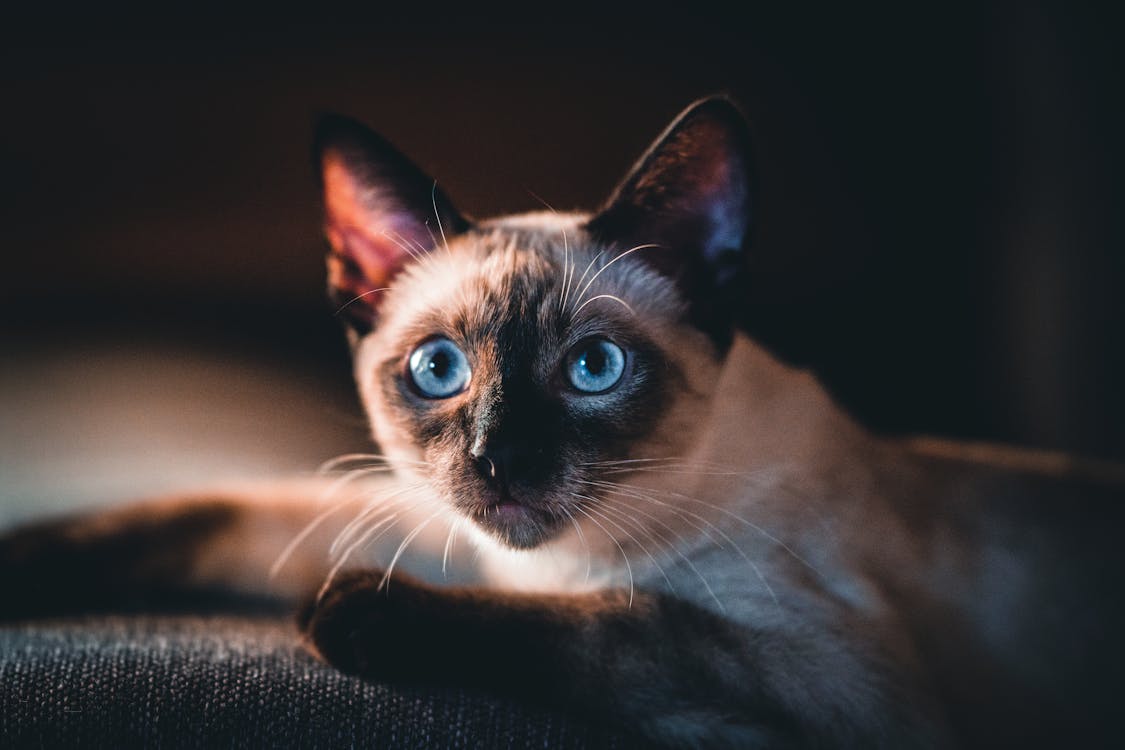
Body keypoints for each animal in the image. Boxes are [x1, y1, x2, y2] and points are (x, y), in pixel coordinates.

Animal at [2, 99, 1125, 750]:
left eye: (593, 370)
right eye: (439, 370)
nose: (499, 461)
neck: (544, 567)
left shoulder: (837, 688)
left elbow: (623, 624)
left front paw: (353, 612)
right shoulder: (426, 523)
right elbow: (200, 510)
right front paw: (25, 562)